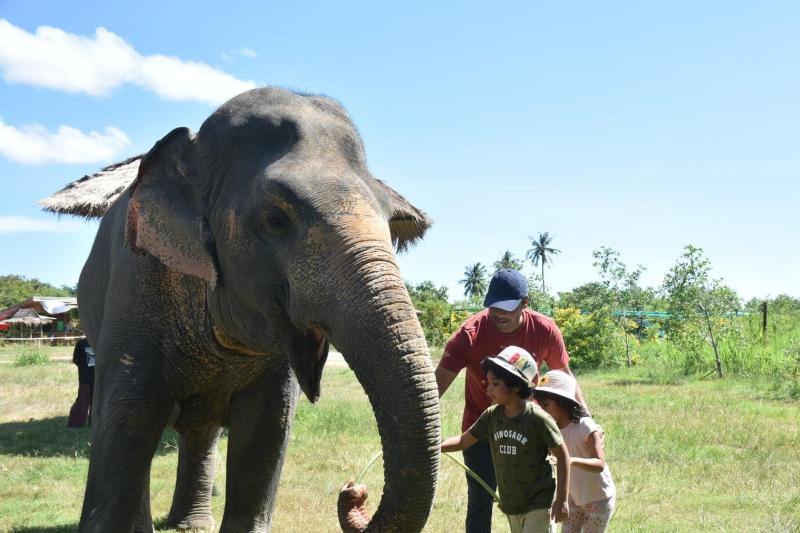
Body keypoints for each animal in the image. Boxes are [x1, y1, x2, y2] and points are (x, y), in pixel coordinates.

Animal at [72, 87, 441, 532]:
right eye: (276, 221)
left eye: (392, 221)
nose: (352, 490)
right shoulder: (136, 287)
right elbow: (126, 420)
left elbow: (266, 431)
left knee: (202, 429)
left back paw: (193, 524)